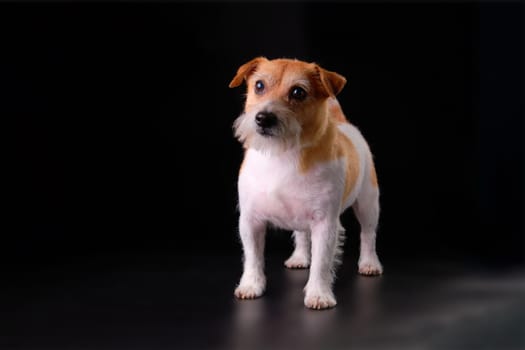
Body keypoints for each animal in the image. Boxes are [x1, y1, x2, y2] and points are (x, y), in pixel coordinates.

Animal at [227, 56, 382, 308]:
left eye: (298, 92)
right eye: (259, 86)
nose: (264, 118)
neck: (282, 153)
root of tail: (344, 124)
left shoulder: (325, 224)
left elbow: (321, 263)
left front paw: (318, 294)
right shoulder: (251, 221)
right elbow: (252, 257)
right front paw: (251, 285)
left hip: (368, 203)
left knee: (368, 234)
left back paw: (369, 263)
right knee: (301, 235)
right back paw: (299, 257)